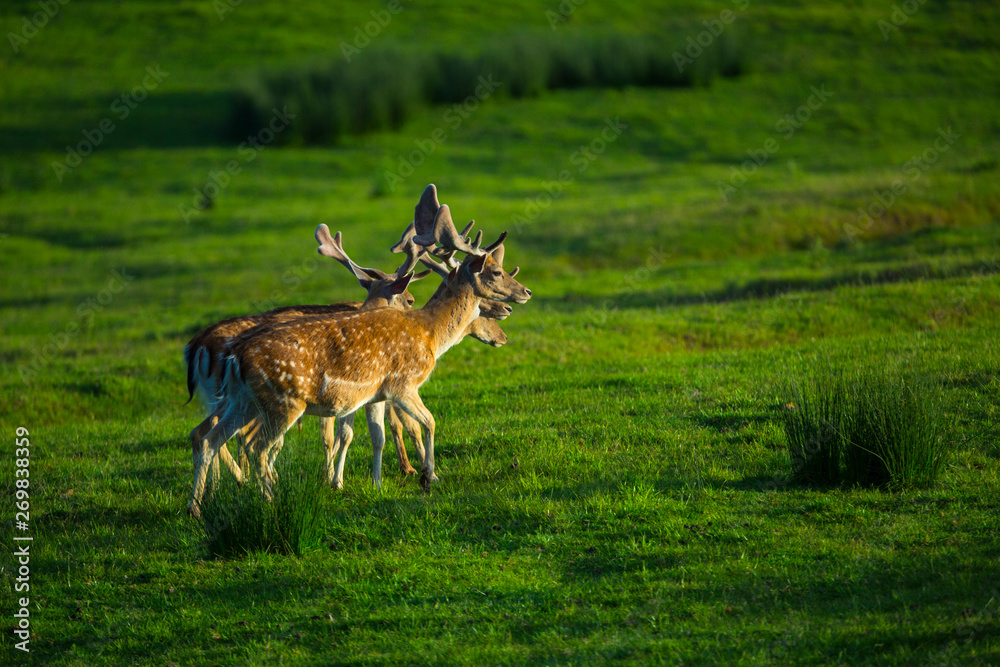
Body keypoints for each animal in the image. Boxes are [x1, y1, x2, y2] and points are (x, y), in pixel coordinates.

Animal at [188, 193, 532, 516]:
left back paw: (196, 507)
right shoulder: (402, 384)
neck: (430, 334)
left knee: (209, 438)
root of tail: (231, 356)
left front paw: (375, 484)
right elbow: (429, 422)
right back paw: (269, 499)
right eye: (496, 271)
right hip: (282, 402)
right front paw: (428, 476)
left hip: (241, 400)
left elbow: (377, 434)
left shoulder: (376, 394)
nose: (525, 293)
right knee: (256, 447)